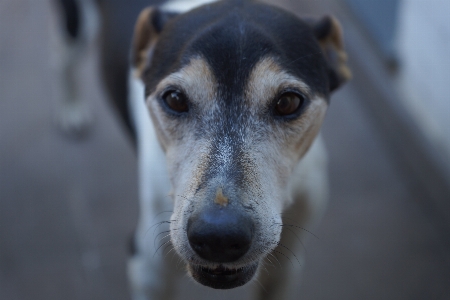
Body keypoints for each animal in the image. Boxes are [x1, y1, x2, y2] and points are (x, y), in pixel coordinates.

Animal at [54, 0, 350, 298]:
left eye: (288, 102)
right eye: (174, 98)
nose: (219, 236)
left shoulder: (284, 270)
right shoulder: (148, 270)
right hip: (76, 27)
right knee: (63, 59)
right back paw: (71, 109)